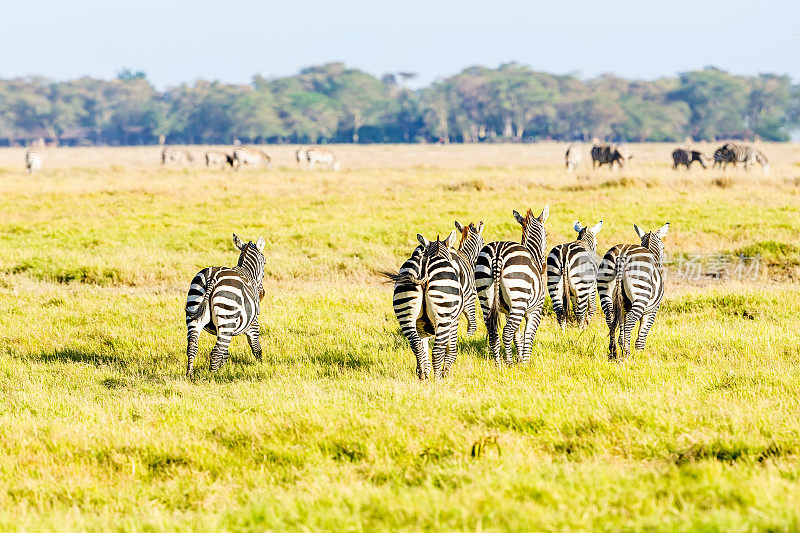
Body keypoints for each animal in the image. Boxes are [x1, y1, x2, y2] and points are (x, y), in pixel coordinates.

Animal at [184, 233, 266, 374]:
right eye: (265, 262)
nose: (262, 294)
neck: (247, 271)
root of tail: (212, 277)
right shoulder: (253, 322)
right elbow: (256, 347)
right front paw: (260, 366)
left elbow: (225, 353)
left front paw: (224, 368)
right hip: (227, 315)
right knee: (216, 351)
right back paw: (214, 376)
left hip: (194, 310)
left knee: (192, 347)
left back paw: (189, 374)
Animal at [384, 232, 466, 378]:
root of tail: (424, 266)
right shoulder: (454, 320)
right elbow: (451, 348)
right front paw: (445, 372)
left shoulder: (421, 325)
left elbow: (423, 346)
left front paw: (423, 371)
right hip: (443, 314)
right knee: (437, 350)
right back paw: (438, 379)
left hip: (405, 311)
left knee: (415, 343)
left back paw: (422, 376)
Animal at [476, 206, 552, 364]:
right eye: (546, 235)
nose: (543, 266)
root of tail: (497, 253)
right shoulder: (535, 310)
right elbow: (528, 335)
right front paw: (525, 362)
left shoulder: (507, 311)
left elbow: (518, 337)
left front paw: (520, 359)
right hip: (519, 296)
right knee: (507, 331)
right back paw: (509, 363)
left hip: (485, 296)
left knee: (493, 331)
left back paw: (498, 363)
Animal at [596, 220, 672, 362]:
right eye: (663, 247)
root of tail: (622, 254)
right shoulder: (652, 310)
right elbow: (642, 333)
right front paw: (639, 353)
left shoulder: (623, 307)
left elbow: (622, 326)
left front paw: (622, 345)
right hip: (640, 293)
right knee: (631, 318)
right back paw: (627, 354)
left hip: (605, 288)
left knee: (610, 316)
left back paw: (613, 353)